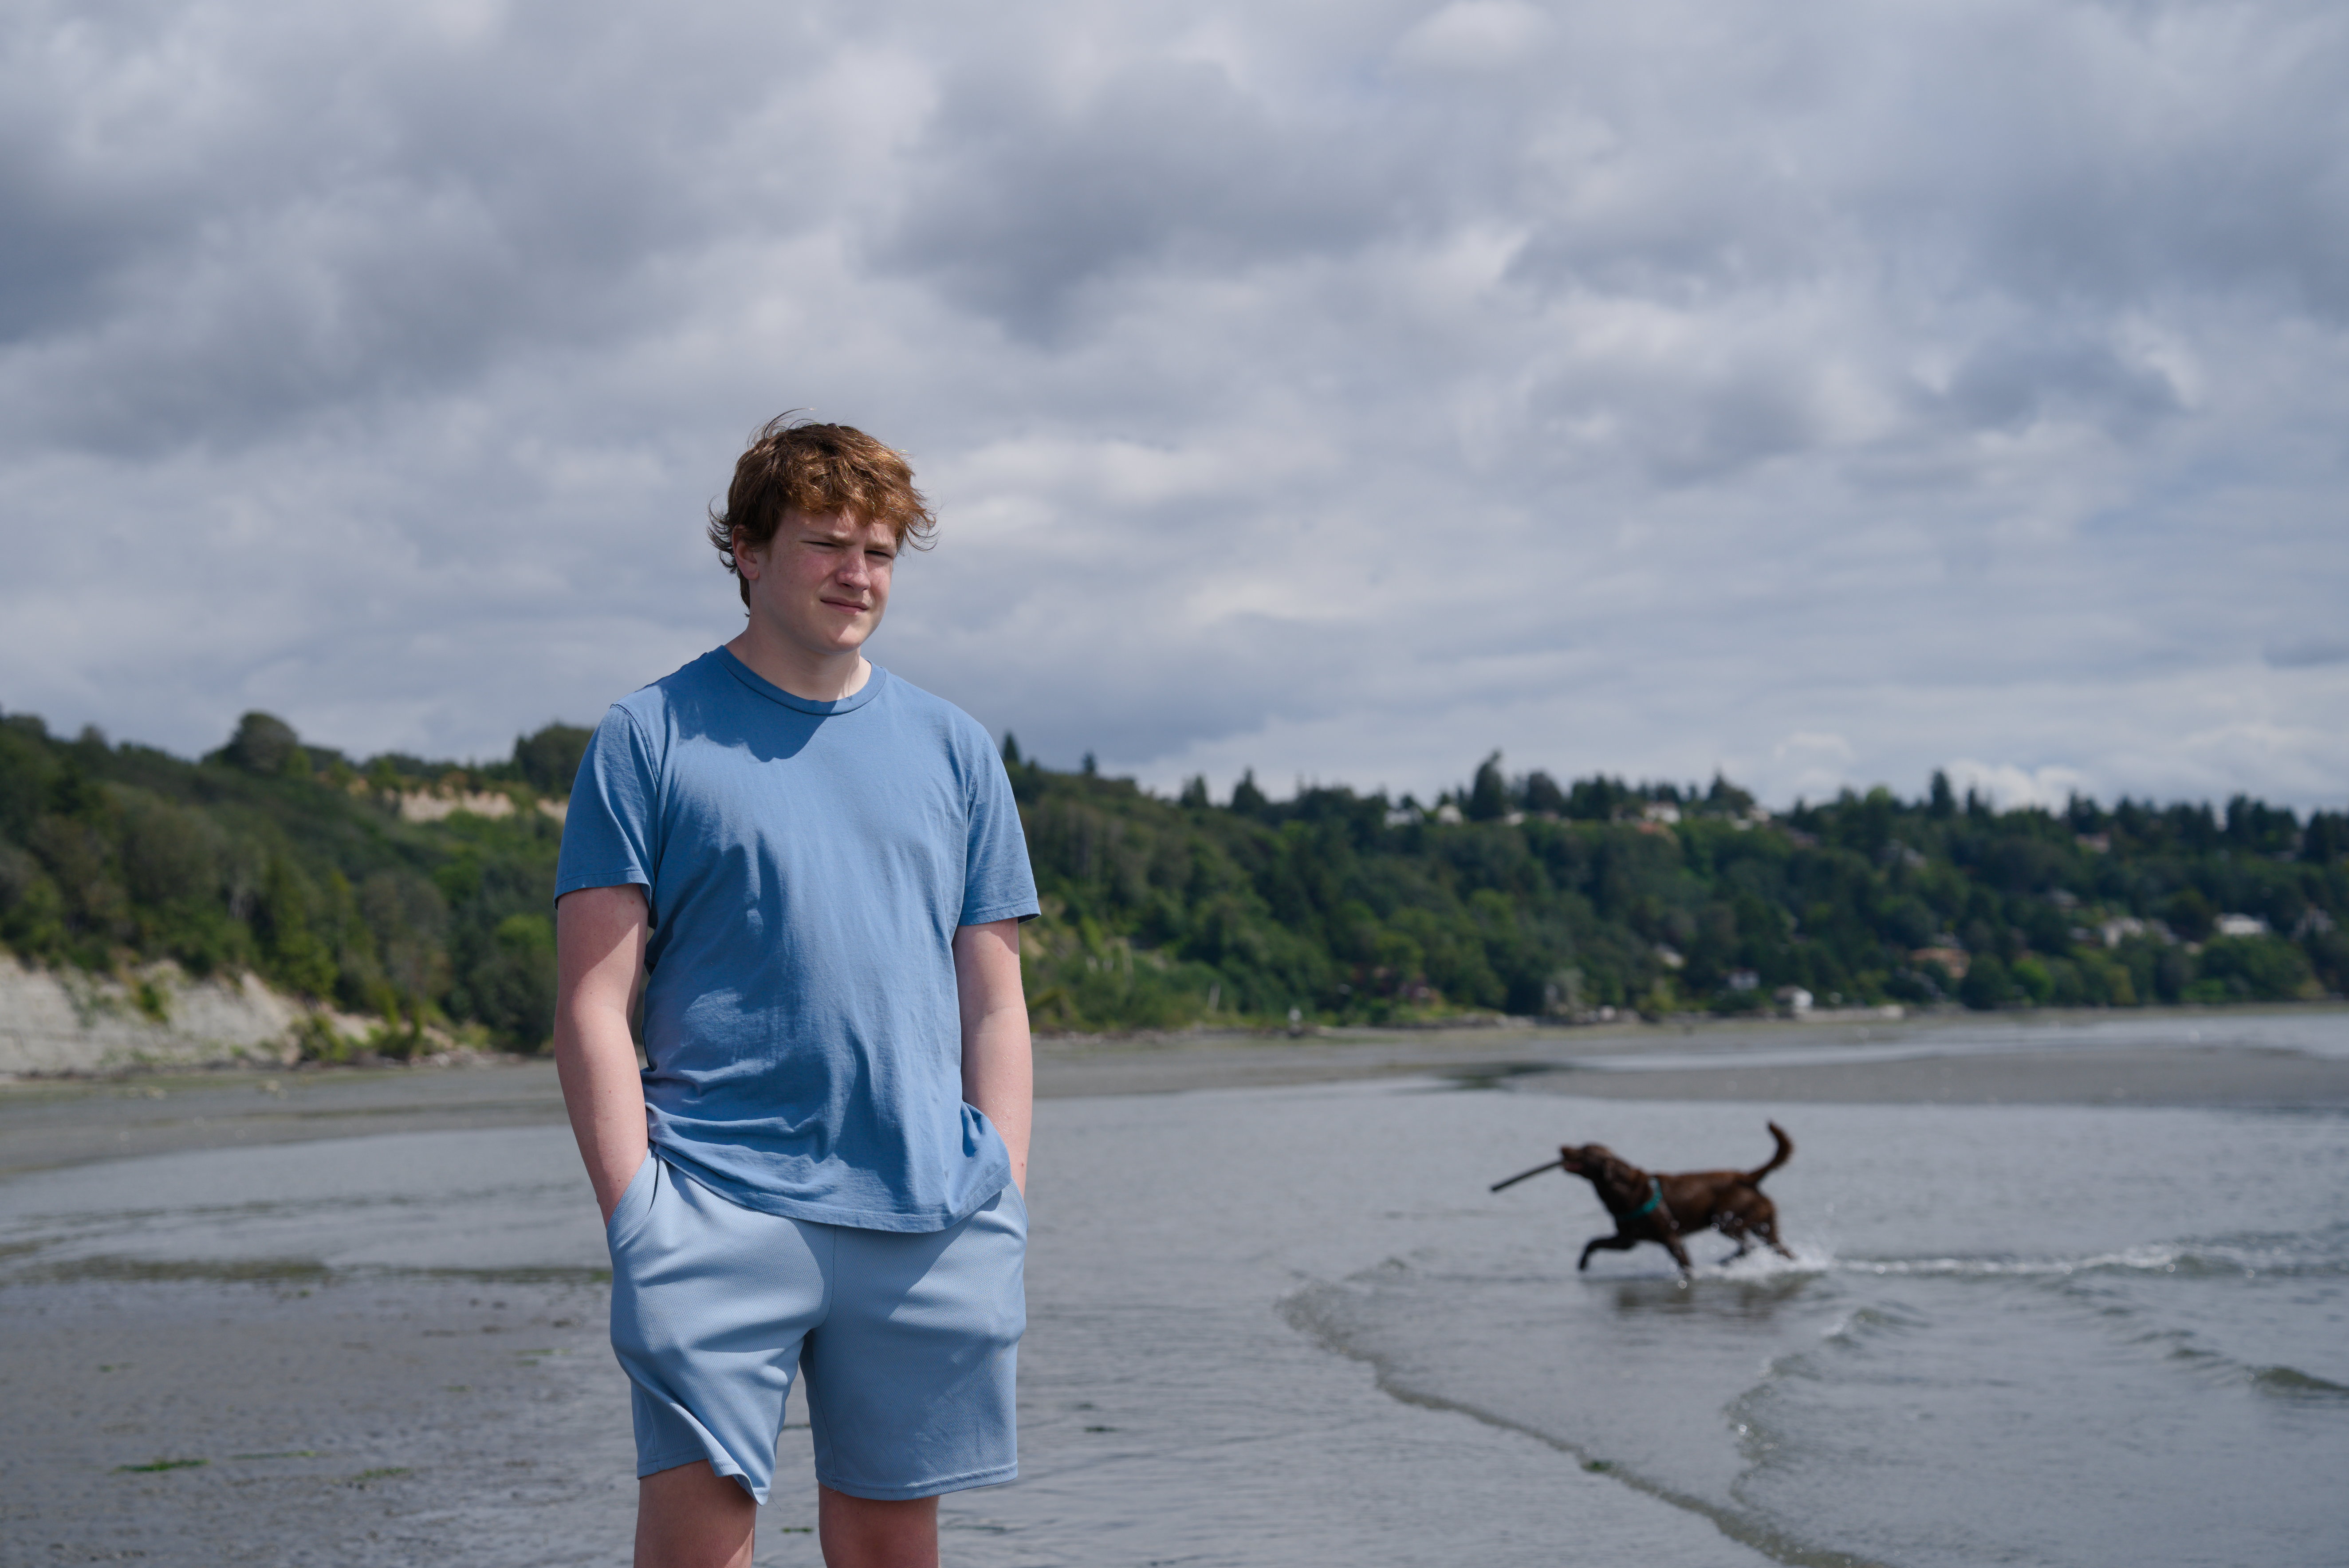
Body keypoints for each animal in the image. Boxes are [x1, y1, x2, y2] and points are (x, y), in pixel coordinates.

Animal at [1550, 1122, 1795, 1275]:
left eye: (1585, 1150)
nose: (1561, 1147)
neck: (1623, 1190)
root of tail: (1747, 1177)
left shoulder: (1671, 1238)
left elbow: (1686, 1266)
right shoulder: (1626, 1240)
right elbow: (1592, 1242)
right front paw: (1582, 1264)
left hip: (1727, 1219)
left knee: (1748, 1246)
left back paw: (1724, 1262)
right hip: (1763, 1225)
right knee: (1777, 1248)